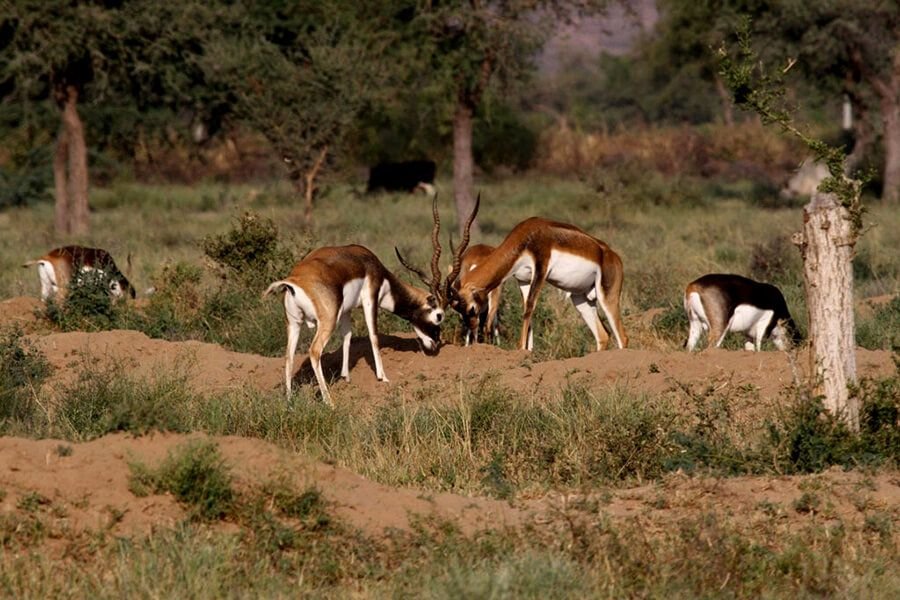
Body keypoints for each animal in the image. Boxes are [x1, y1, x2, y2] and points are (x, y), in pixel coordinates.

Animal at [265, 202, 446, 405]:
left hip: (294, 323)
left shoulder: (346, 311)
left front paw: (346, 377)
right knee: (314, 351)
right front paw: (383, 377)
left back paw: (289, 400)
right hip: (327, 322)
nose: (435, 345)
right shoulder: (370, 299)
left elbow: (347, 336)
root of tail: (294, 282)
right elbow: (373, 336)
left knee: (288, 356)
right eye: (439, 316)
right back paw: (329, 402)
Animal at [445, 203, 628, 352]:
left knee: (622, 338)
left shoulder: (541, 270)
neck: (527, 235)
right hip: (580, 299)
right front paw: (528, 351)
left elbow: (529, 307)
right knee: (603, 336)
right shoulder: (523, 279)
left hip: (607, 297)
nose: (474, 333)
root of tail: (614, 256)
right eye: (459, 312)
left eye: (471, 309)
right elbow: (528, 310)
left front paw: (520, 348)